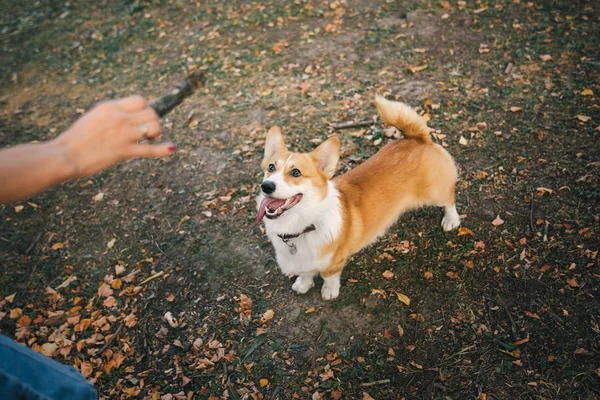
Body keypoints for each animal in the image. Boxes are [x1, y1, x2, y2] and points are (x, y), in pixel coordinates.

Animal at [256, 94, 460, 300]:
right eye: (271, 167)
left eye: (296, 172)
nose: (266, 186)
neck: (301, 226)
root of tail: (418, 138)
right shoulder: (303, 261)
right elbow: (306, 273)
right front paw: (302, 285)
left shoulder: (334, 262)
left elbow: (328, 277)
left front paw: (329, 292)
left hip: (435, 193)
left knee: (449, 197)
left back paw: (451, 220)